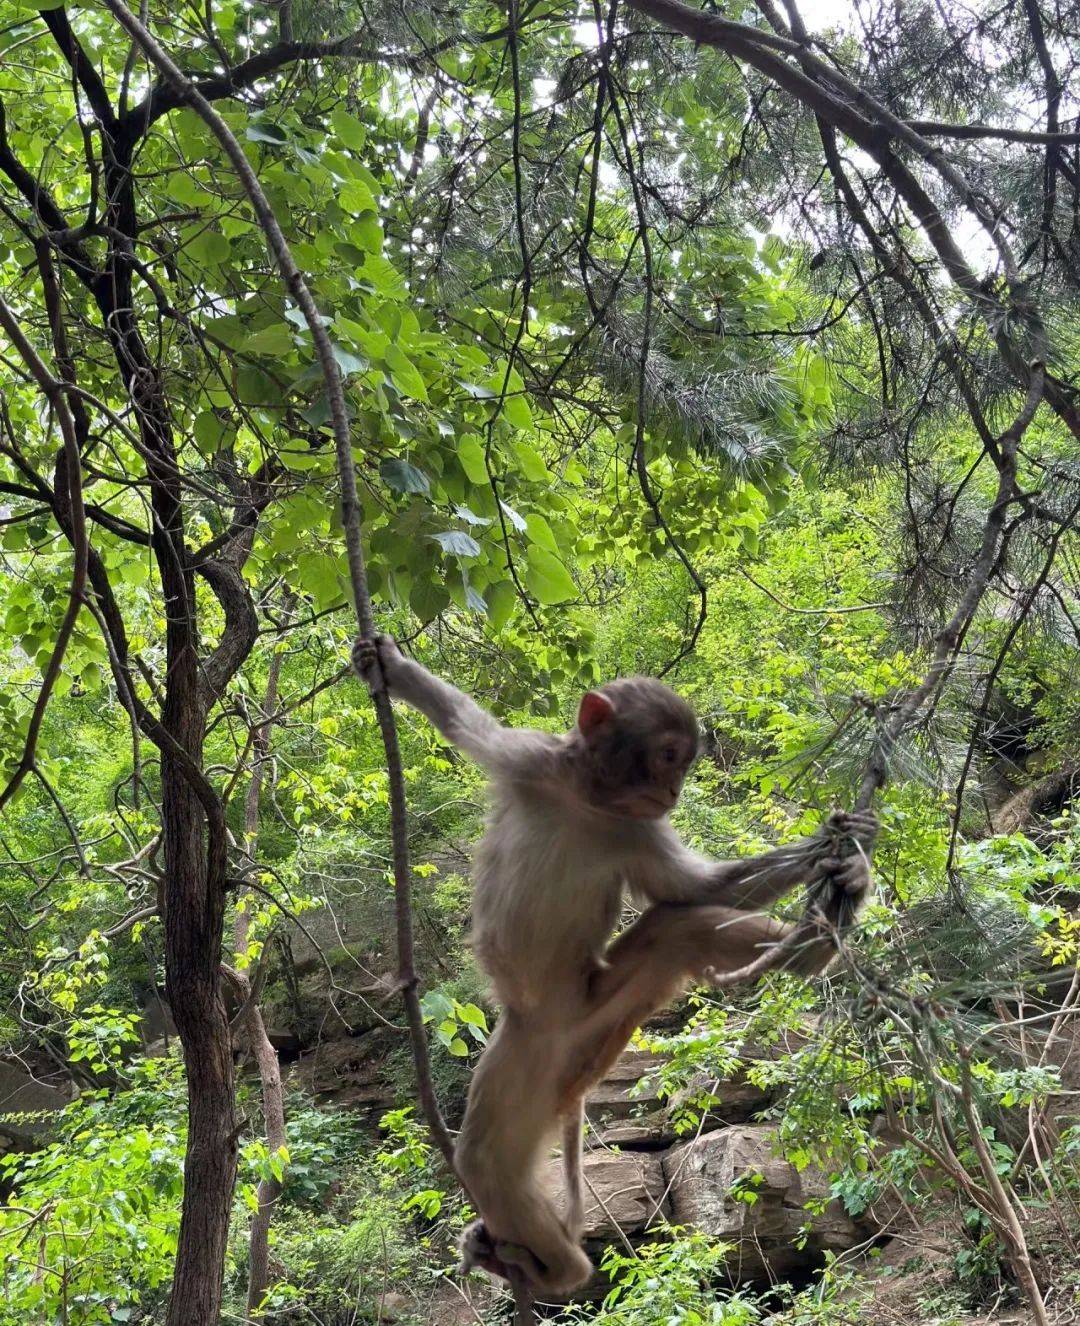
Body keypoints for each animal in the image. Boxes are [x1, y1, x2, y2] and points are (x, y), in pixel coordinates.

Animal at [355, 636, 880, 1299]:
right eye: (668, 756)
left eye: (683, 763)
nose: (674, 790)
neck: (589, 801)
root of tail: (565, 1034)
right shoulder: (528, 759)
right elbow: (461, 722)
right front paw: (392, 669)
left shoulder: (640, 828)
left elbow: (697, 890)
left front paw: (835, 848)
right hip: (526, 1057)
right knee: (487, 1158)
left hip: (596, 1009)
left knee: (676, 929)